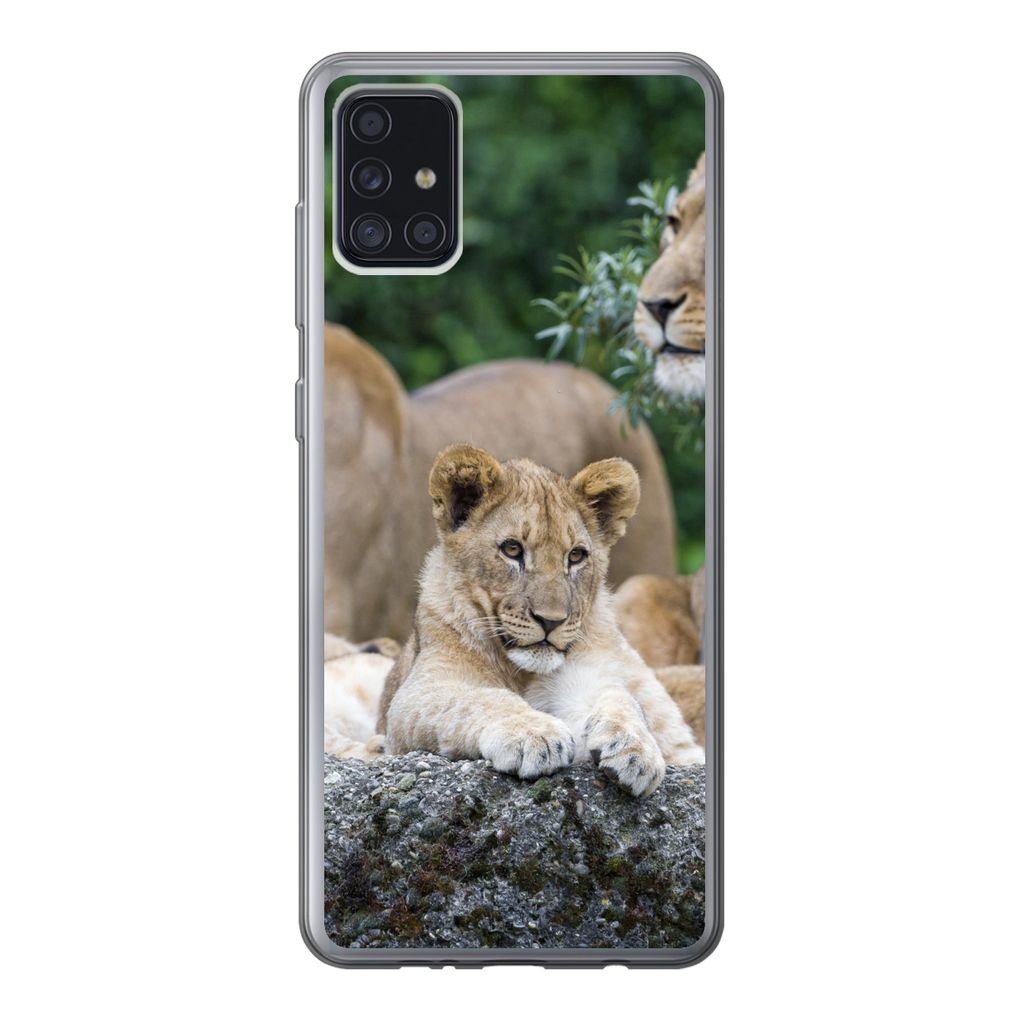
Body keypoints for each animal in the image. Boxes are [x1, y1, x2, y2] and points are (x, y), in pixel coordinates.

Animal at [377, 444, 703, 797]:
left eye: (576, 555)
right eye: (512, 549)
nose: (551, 621)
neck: (521, 672)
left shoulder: (586, 679)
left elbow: (619, 698)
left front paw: (634, 748)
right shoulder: (415, 697)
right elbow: (478, 699)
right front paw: (535, 736)